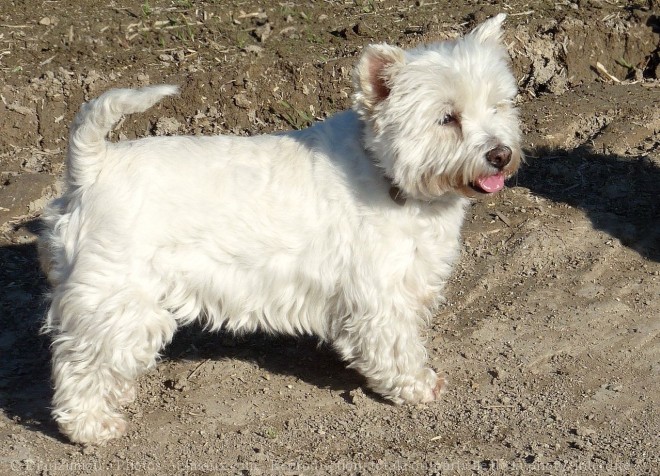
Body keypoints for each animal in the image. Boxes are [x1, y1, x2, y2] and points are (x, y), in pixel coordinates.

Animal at [40, 14, 520, 446]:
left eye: (498, 105)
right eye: (447, 118)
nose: (500, 154)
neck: (388, 173)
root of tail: (93, 166)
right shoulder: (381, 295)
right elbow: (396, 345)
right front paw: (417, 385)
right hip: (116, 297)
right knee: (79, 363)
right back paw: (91, 426)